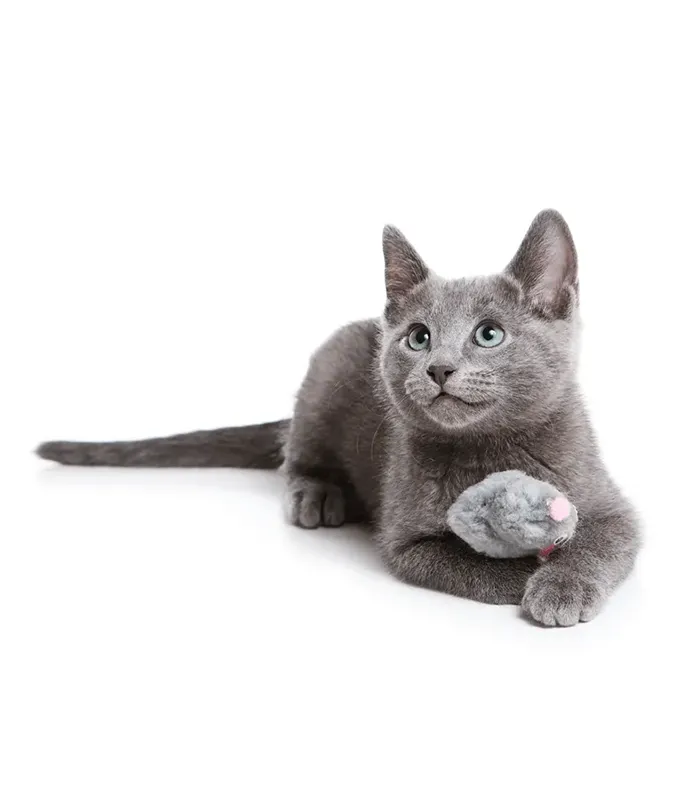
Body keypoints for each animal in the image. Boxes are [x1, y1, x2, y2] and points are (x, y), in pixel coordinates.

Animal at [39, 211, 640, 624]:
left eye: (489, 334)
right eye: (418, 337)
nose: (438, 367)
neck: (490, 449)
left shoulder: (614, 508)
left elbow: (603, 542)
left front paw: (562, 584)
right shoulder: (407, 543)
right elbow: (479, 567)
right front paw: (531, 576)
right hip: (321, 377)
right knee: (295, 453)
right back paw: (318, 493)